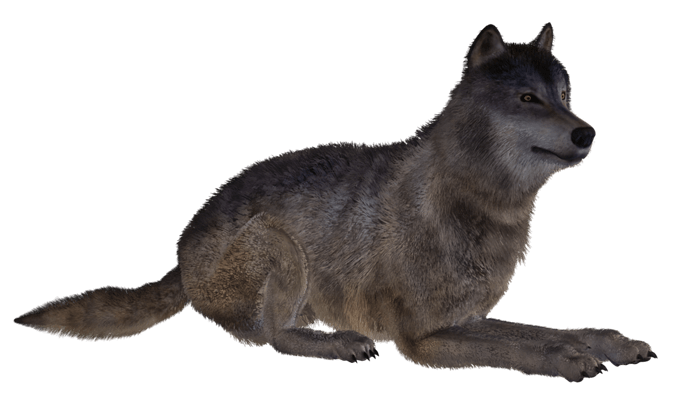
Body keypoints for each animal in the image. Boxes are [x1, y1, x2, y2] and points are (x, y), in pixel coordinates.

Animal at [14, 22, 657, 382]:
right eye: (527, 98)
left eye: (565, 95)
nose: (587, 133)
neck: (477, 207)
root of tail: (180, 252)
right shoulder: (422, 339)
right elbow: (523, 346)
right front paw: (568, 358)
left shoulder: (468, 316)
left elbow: (550, 328)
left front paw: (609, 343)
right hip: (282, 247)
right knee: (273, 339)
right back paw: (340, 345)